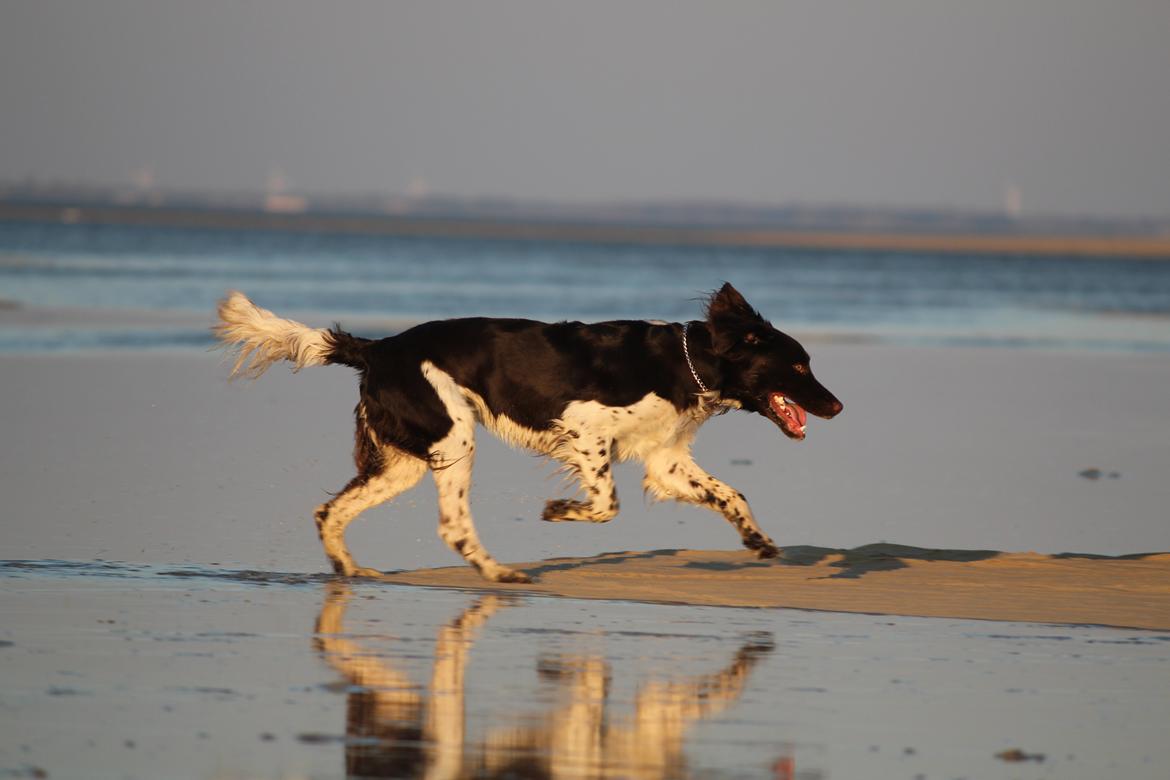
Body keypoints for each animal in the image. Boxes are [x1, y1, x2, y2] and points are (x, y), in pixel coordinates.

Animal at [217, 284, 842, 582]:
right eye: (800, 365)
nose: (838, 406)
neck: (685, 362)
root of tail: (377, 348)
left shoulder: (664, 458)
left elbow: (732, 495)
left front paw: (759, 543)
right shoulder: (586, 428)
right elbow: (607, 504)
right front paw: (559, 510)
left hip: (408, 460)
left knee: (331, 511)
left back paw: (351, 572)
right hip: (453, 438)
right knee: (452, 525)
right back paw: (499, 573)